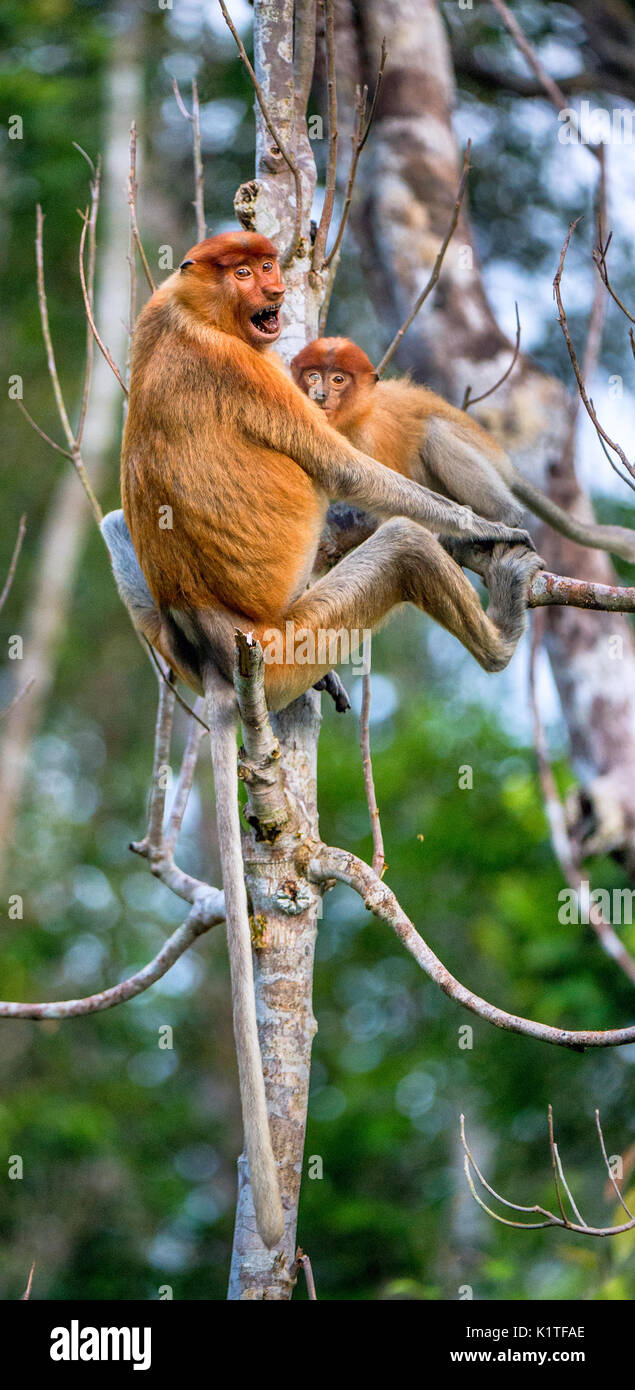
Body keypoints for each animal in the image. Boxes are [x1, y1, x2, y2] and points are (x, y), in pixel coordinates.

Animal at [119, 230, 541, 1248]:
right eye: (240, 268)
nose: (274, 285)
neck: (190, 312)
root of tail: (219, 657)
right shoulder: (252, 374)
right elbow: (348, 474)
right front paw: (494, 530)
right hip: (293, 636)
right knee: (398, 545)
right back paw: (500, 624)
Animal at [290, 337, 635, 566]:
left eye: (338, 379)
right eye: (313, 375)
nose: (319, 394)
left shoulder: (365, 439)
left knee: (435, 433)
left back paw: (504, 518)